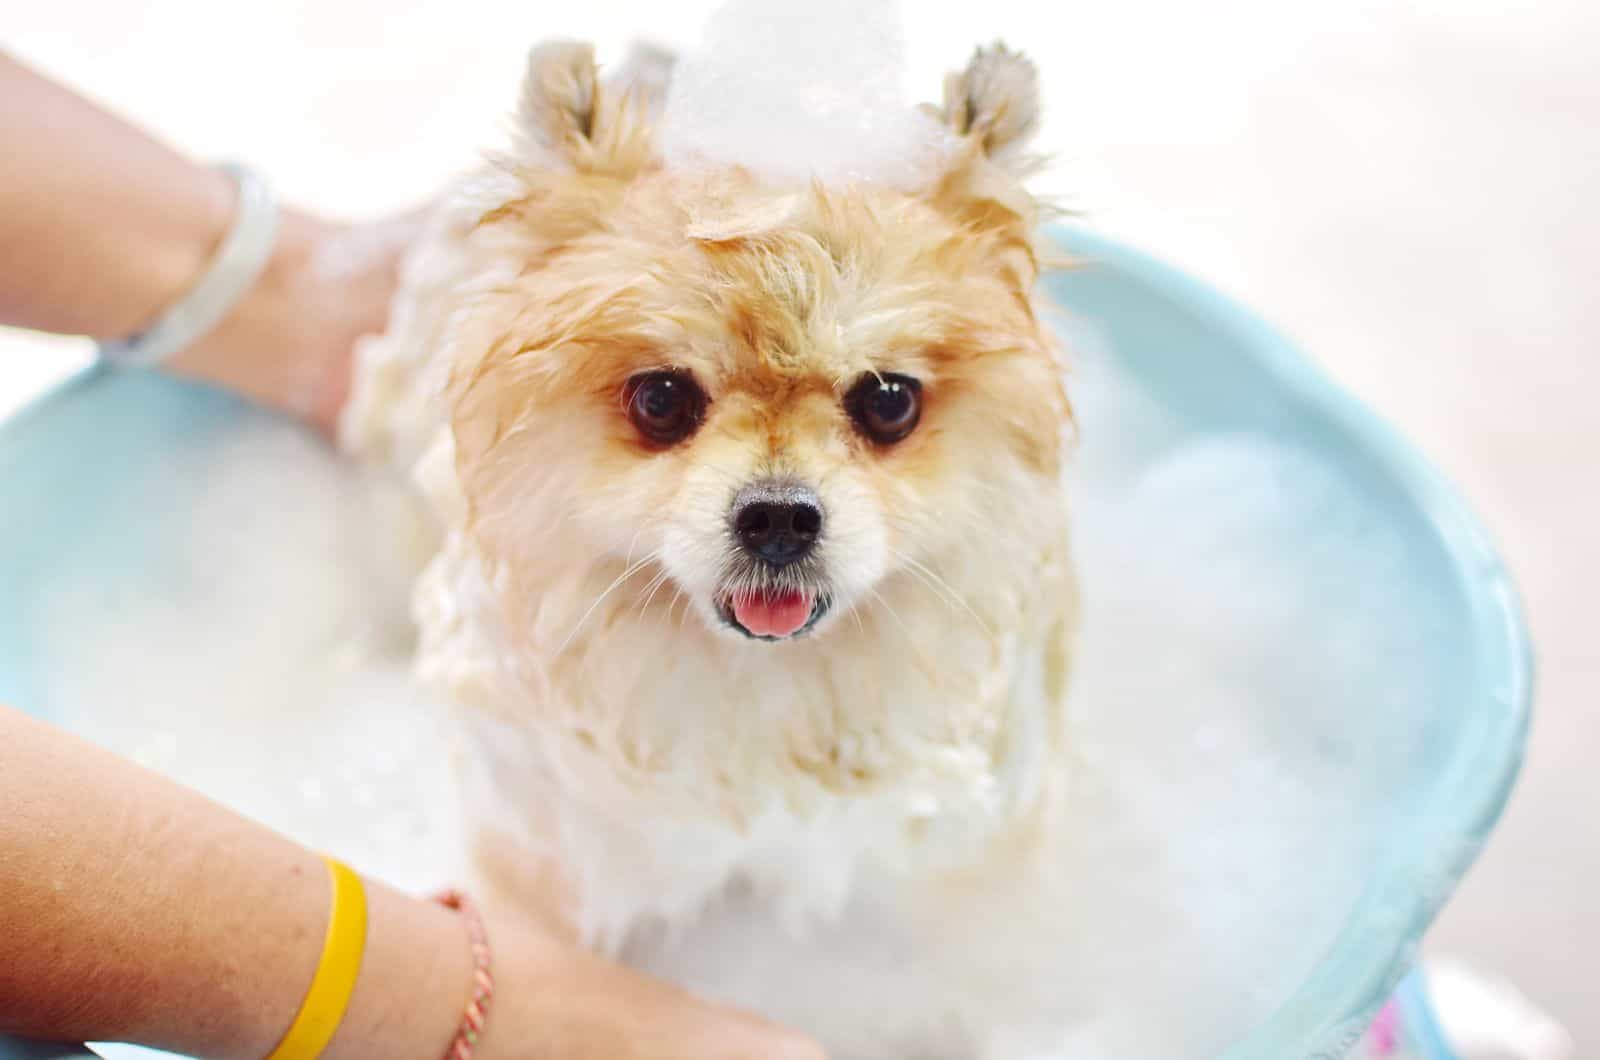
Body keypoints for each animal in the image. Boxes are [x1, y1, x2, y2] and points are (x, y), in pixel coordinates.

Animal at [347, 37, 1075, 1056]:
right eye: (661, 399)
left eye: (889, 401)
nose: (778, 515)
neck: (764, 701)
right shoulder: (553, 849)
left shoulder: (954, 857)